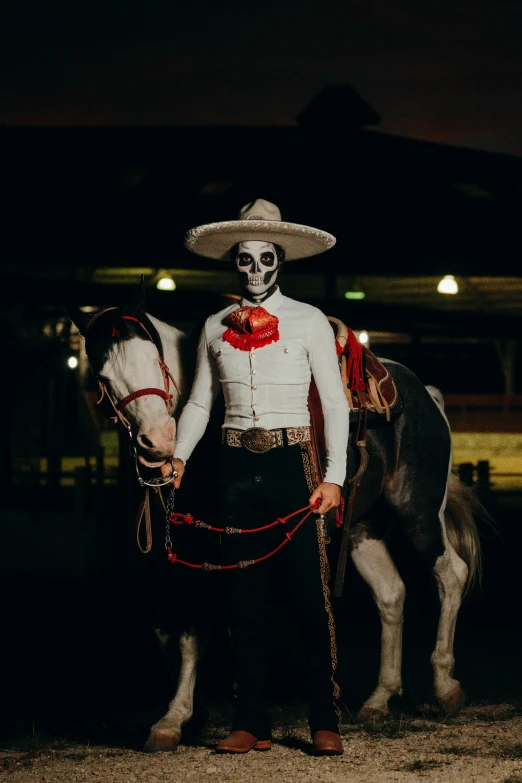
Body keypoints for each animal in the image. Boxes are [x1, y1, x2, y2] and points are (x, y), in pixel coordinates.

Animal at [69, 290, 480, 752]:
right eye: (103, 376)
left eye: (154, 360)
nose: (157, 441)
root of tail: (425, 394)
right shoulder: (183, 555)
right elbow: (167, 628)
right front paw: (189, 714)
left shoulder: (219, 551)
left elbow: (195, 630)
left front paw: (175, 718)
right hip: (362, 530)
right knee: (391, 594)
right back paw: (379, 699)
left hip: (418, 512)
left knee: (450, 574)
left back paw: (446, 687)